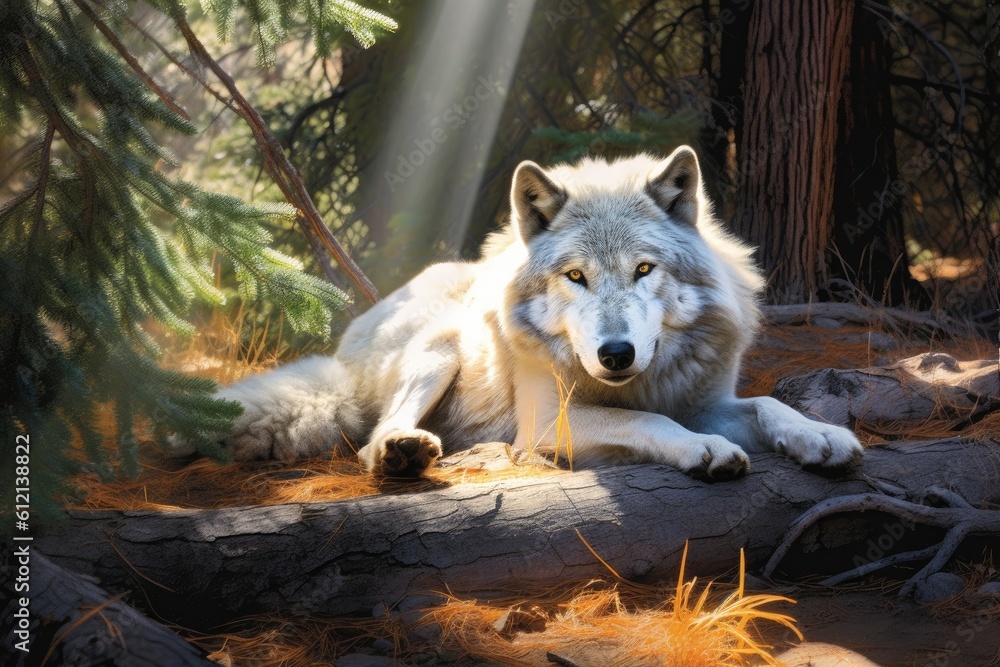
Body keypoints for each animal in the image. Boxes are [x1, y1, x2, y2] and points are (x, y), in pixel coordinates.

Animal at [172, 146, 863, 480]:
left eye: (643, 270)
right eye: (575, 276)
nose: (617, 354)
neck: (639, 383)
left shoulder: (705, 398)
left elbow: (767, 403)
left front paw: (821, 435)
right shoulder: (546, 419)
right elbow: (652, 424)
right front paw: (706, 450)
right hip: (439, 351)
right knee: (371, 439)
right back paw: (405, 452)